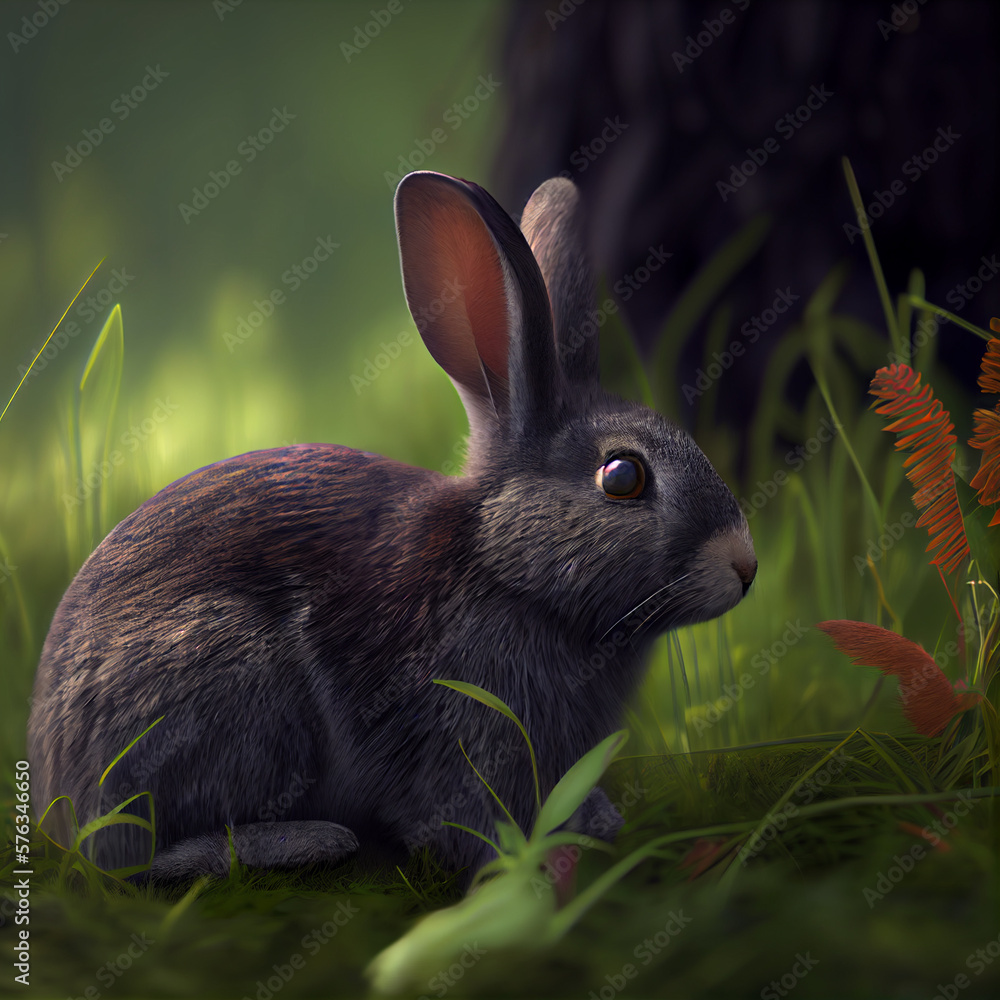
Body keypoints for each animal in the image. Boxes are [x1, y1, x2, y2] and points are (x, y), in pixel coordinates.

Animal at [27, 171, 756, 882]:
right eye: (623, 477)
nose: (745, 566)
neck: (505, 567)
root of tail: (55, 783)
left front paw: (593, 818)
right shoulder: (456, 734)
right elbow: (460, 818)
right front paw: (525, 863)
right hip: (233, 683)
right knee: (132, 859)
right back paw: (305, 842)